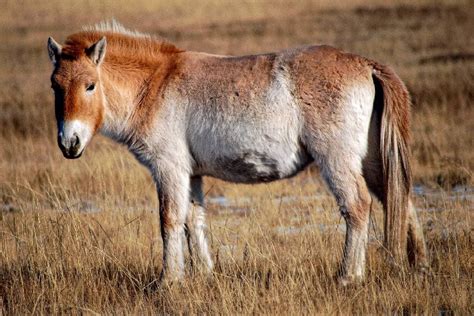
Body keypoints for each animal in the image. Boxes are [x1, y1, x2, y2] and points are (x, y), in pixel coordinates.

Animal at [47, 21, 430, 286]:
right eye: (55, 86)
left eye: (90, 85)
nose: (69, 143)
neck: (154, 84)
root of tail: (366, 65)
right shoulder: (191, 174)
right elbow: (193, 221)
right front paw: (203, 275)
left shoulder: (169, 169)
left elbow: (169, 220)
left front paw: (168, 281)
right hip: (372, 161)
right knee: (399, 198)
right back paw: (416, 266)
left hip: (337, 160)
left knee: (358, 206)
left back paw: (348, 276)